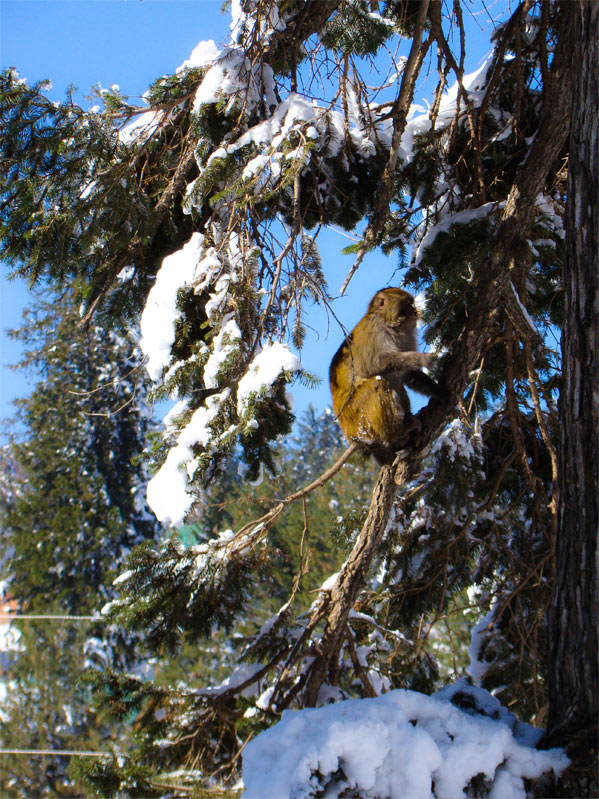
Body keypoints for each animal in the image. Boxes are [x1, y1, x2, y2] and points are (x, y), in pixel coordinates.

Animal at [330, 288, 448, 466]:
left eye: (412, 303)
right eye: (407, 303)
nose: (415, 311)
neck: (391, 325)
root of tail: (348, 433)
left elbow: (408, 375)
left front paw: (440, 392)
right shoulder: (376, 332)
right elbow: (377, 364)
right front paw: (422, 358)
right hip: (356, 417)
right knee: (379, 383)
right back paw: (396, 434)